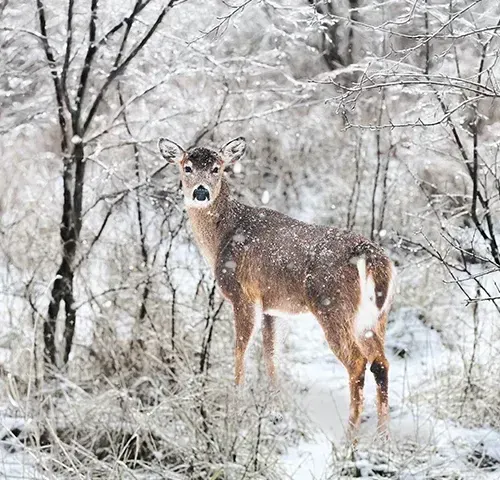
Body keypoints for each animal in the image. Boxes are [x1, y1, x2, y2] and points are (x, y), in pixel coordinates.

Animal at [158, 136, 396, 438]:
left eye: (217, 168)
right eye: (187, 167)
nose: (201, 192)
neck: (222, 237)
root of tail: (372, 257)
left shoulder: (243, 295)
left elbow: (241, 350)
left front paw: (236, 404)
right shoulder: (273, 307)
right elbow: (271, 355)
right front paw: (274, 406)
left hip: (333, 306)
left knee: (356, 363)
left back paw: (350, 436)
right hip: (376, 315)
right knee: (381, 362)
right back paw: (382, 437)